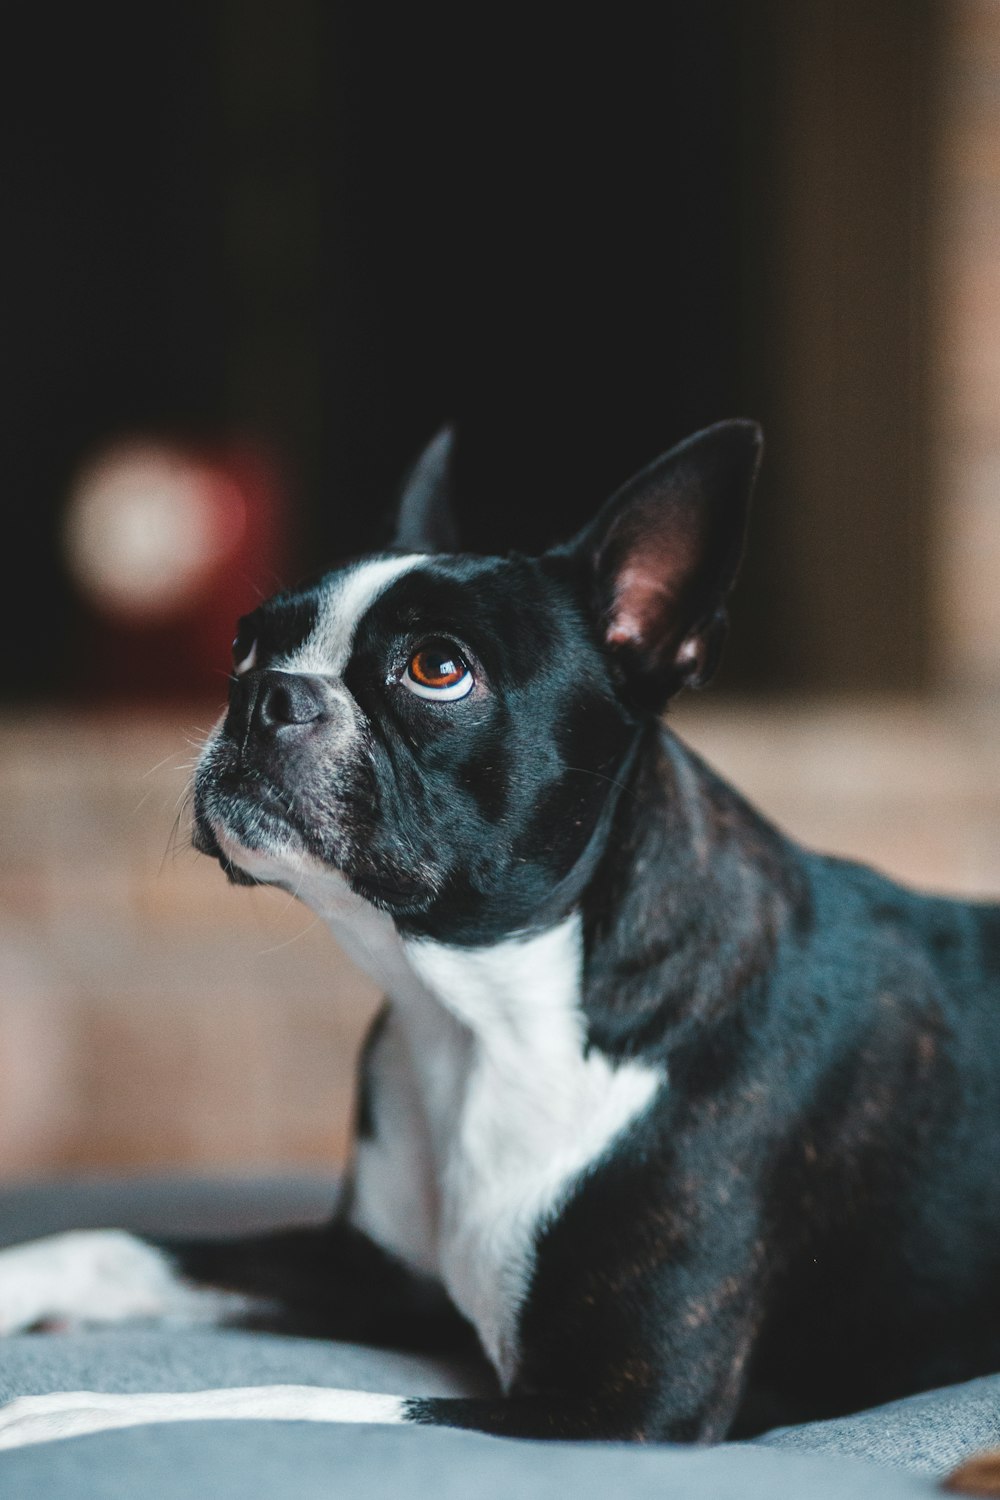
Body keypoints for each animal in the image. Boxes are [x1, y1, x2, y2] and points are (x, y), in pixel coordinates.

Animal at [1, 423, 1000, 1452]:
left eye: (438, 669)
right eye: (245, 647)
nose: (266, 694)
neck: (480, 1016)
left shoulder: (624, 1408)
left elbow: (294, 1398)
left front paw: (78, 1413)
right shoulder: (368, 1272)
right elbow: (114, 1244)